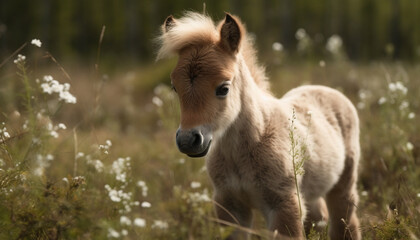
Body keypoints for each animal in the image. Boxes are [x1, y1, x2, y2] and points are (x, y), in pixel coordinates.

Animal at [158, 11, 360, 240]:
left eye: (223, 88)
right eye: (175, 87)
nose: (188, 141)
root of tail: (325, 89)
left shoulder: (284, 205)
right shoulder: (229, 205)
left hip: (343, 184)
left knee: (346, 221)